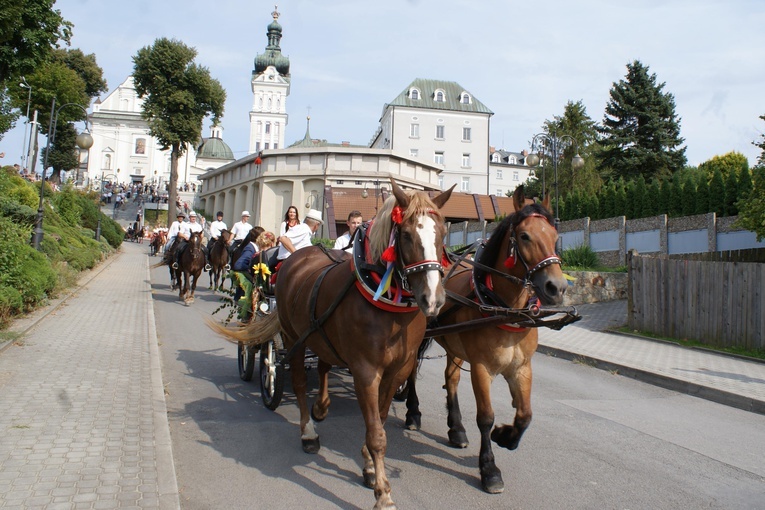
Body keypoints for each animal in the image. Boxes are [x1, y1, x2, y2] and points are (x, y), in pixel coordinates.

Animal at [209, 180, 454, 510]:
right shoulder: (366, 371)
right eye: (405, 235)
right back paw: (308, 432)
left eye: (442, 233)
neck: (385, 301)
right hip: (292, 337)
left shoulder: (397, 371)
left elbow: (380, 418)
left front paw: (368, 466)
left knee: (324, 364)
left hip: (320, 333)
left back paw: (322, 406)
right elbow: (377, 433)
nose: (433, 299)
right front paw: (383, 492)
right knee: (299, 381)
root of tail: (299, 256)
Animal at [400, 185, 568, 496]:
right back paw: (413, 413)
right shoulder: (481, 368)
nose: (557, 287)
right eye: (524, 236)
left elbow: (525, 415)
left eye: (555, 236)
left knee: (451, 378)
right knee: (412, 373)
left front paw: (506, 435)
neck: (504, 308)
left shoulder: (522, 368)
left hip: (453, 344)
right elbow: (485, 416)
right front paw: (489, 469)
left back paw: (456, 428)